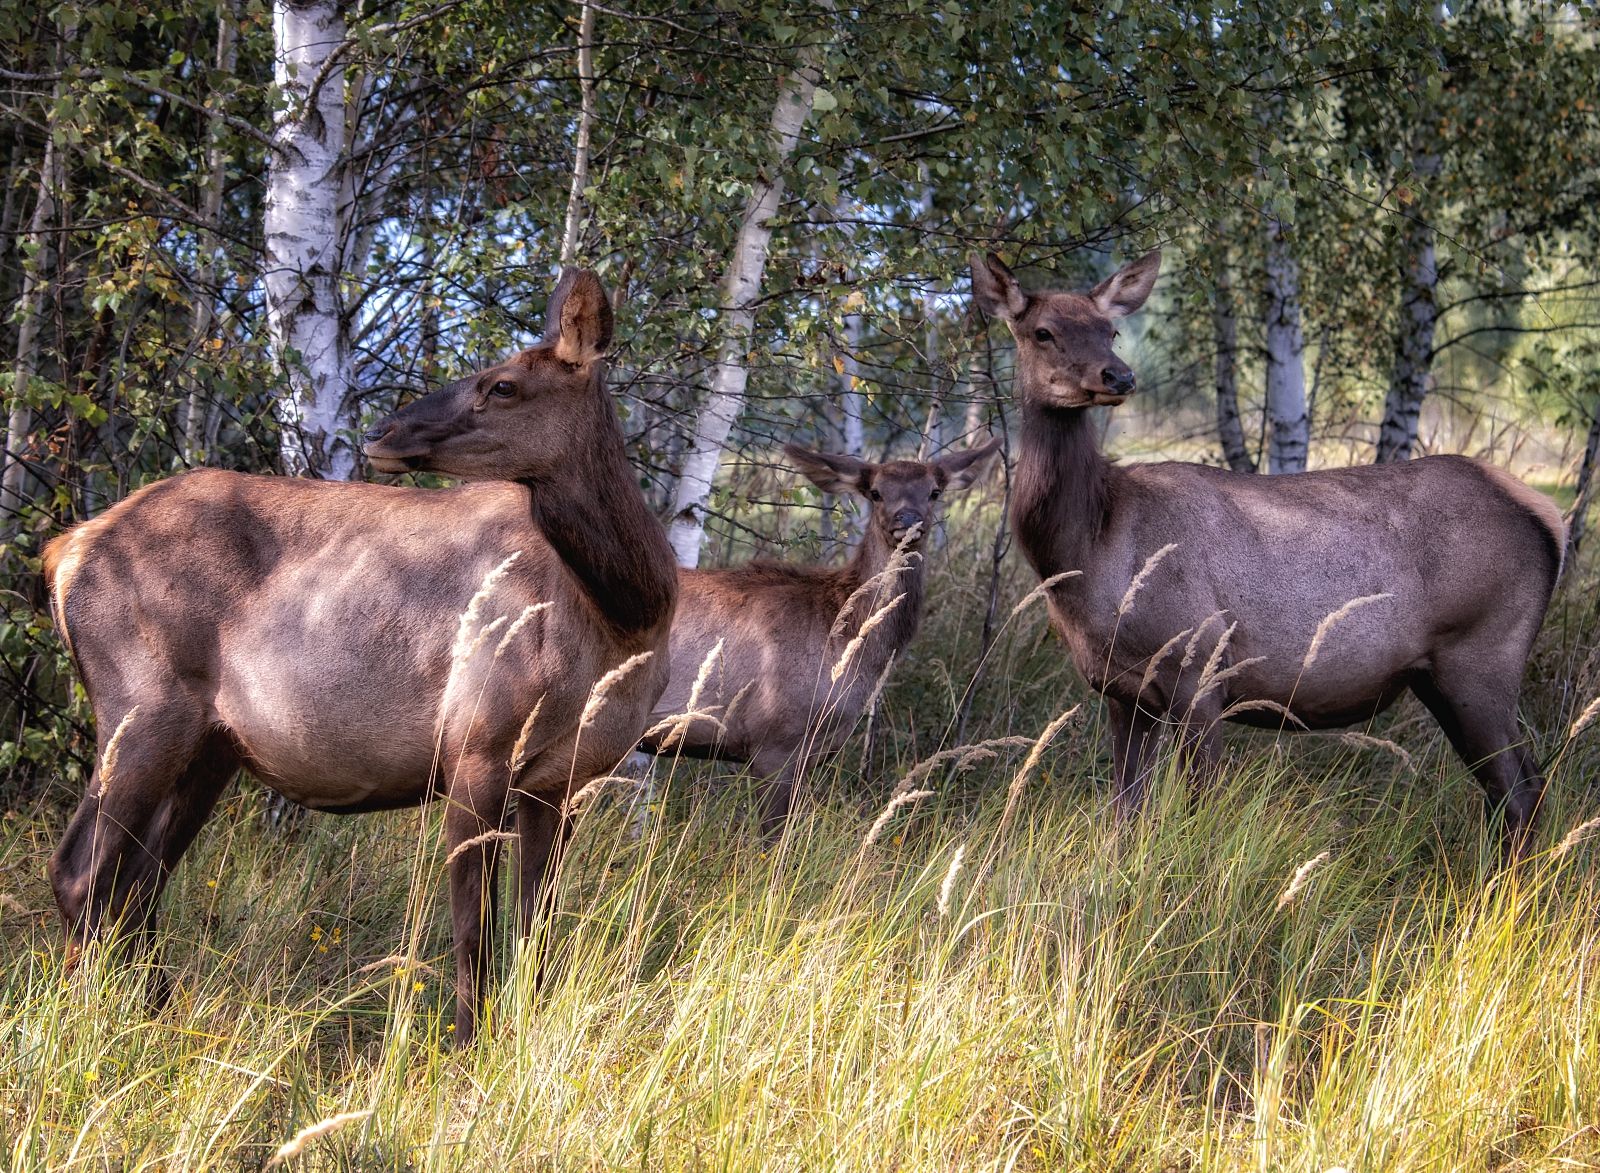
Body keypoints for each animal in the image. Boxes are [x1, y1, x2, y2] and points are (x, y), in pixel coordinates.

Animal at [37, 270, 675, 1036]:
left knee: (137, 884)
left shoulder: (562, 781)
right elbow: (474, 935)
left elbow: (537, 931)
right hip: (141, 707)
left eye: (503, 385)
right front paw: (467, 1050)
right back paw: (93, 1027)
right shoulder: (476, 745)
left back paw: (162, 1023)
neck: (628, 616)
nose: (382, 431)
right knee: (81, 873)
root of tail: (63, 552)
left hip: (209, 746)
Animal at [966, 249, 1555, 851]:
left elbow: (1199, 808)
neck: (1091, 552)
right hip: (1441, 674)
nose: (1119, 375)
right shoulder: (1120, 690)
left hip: (1481, 655)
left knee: (1521, 787)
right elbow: (1124, 812)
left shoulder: (1198, 669)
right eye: (1043, 331)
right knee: (1515, 786)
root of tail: (1544, 510)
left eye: (1111, 330)